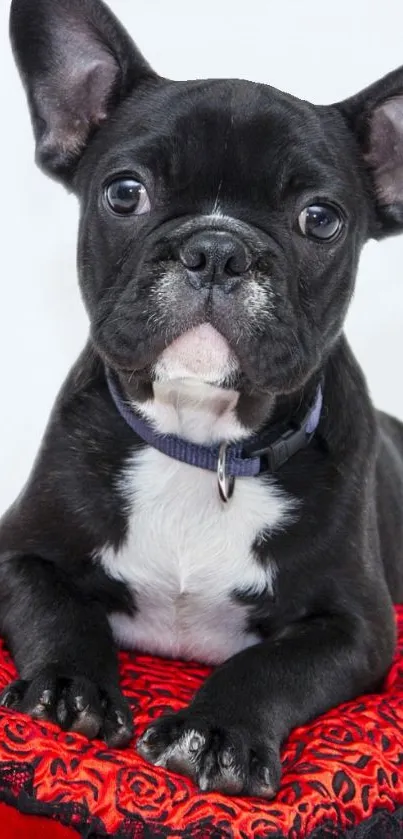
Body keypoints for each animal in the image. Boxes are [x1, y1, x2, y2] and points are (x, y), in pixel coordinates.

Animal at [2, 0, 403, 800]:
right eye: (125, 192)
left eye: (320, 218)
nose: (218, 249)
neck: (201, 441)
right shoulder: (15, 552)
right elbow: (55, 607)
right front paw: (70, 685)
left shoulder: (359, 627)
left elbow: (271, 664)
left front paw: (215, 731)